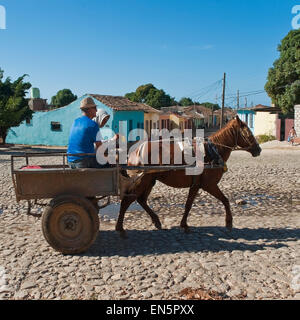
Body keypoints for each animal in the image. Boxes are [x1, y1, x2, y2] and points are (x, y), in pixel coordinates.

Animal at [116, 116, 262, 236]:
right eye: (248, 133)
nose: (258, 149)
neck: (212, 151)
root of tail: (133, 152)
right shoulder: (209, 185)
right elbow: (224, 200)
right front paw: (229, 223)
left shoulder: (196, 185)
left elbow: (189, 204)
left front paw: (184, 224)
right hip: (141, 181)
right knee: (127, 200)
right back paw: (120, 228)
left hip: (150, 181)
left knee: (141, 200)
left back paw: (156, 221)